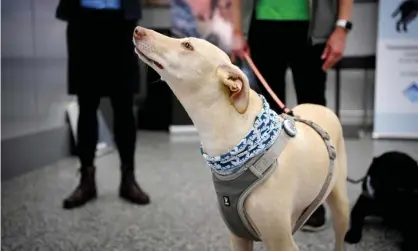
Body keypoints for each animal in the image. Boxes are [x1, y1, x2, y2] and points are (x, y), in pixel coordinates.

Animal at [133, 26, 350, 250]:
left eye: (187, 45)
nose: (138, 30)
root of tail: (321, 107)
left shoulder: (282, 242)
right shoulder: (238, 236)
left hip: (341, 204)